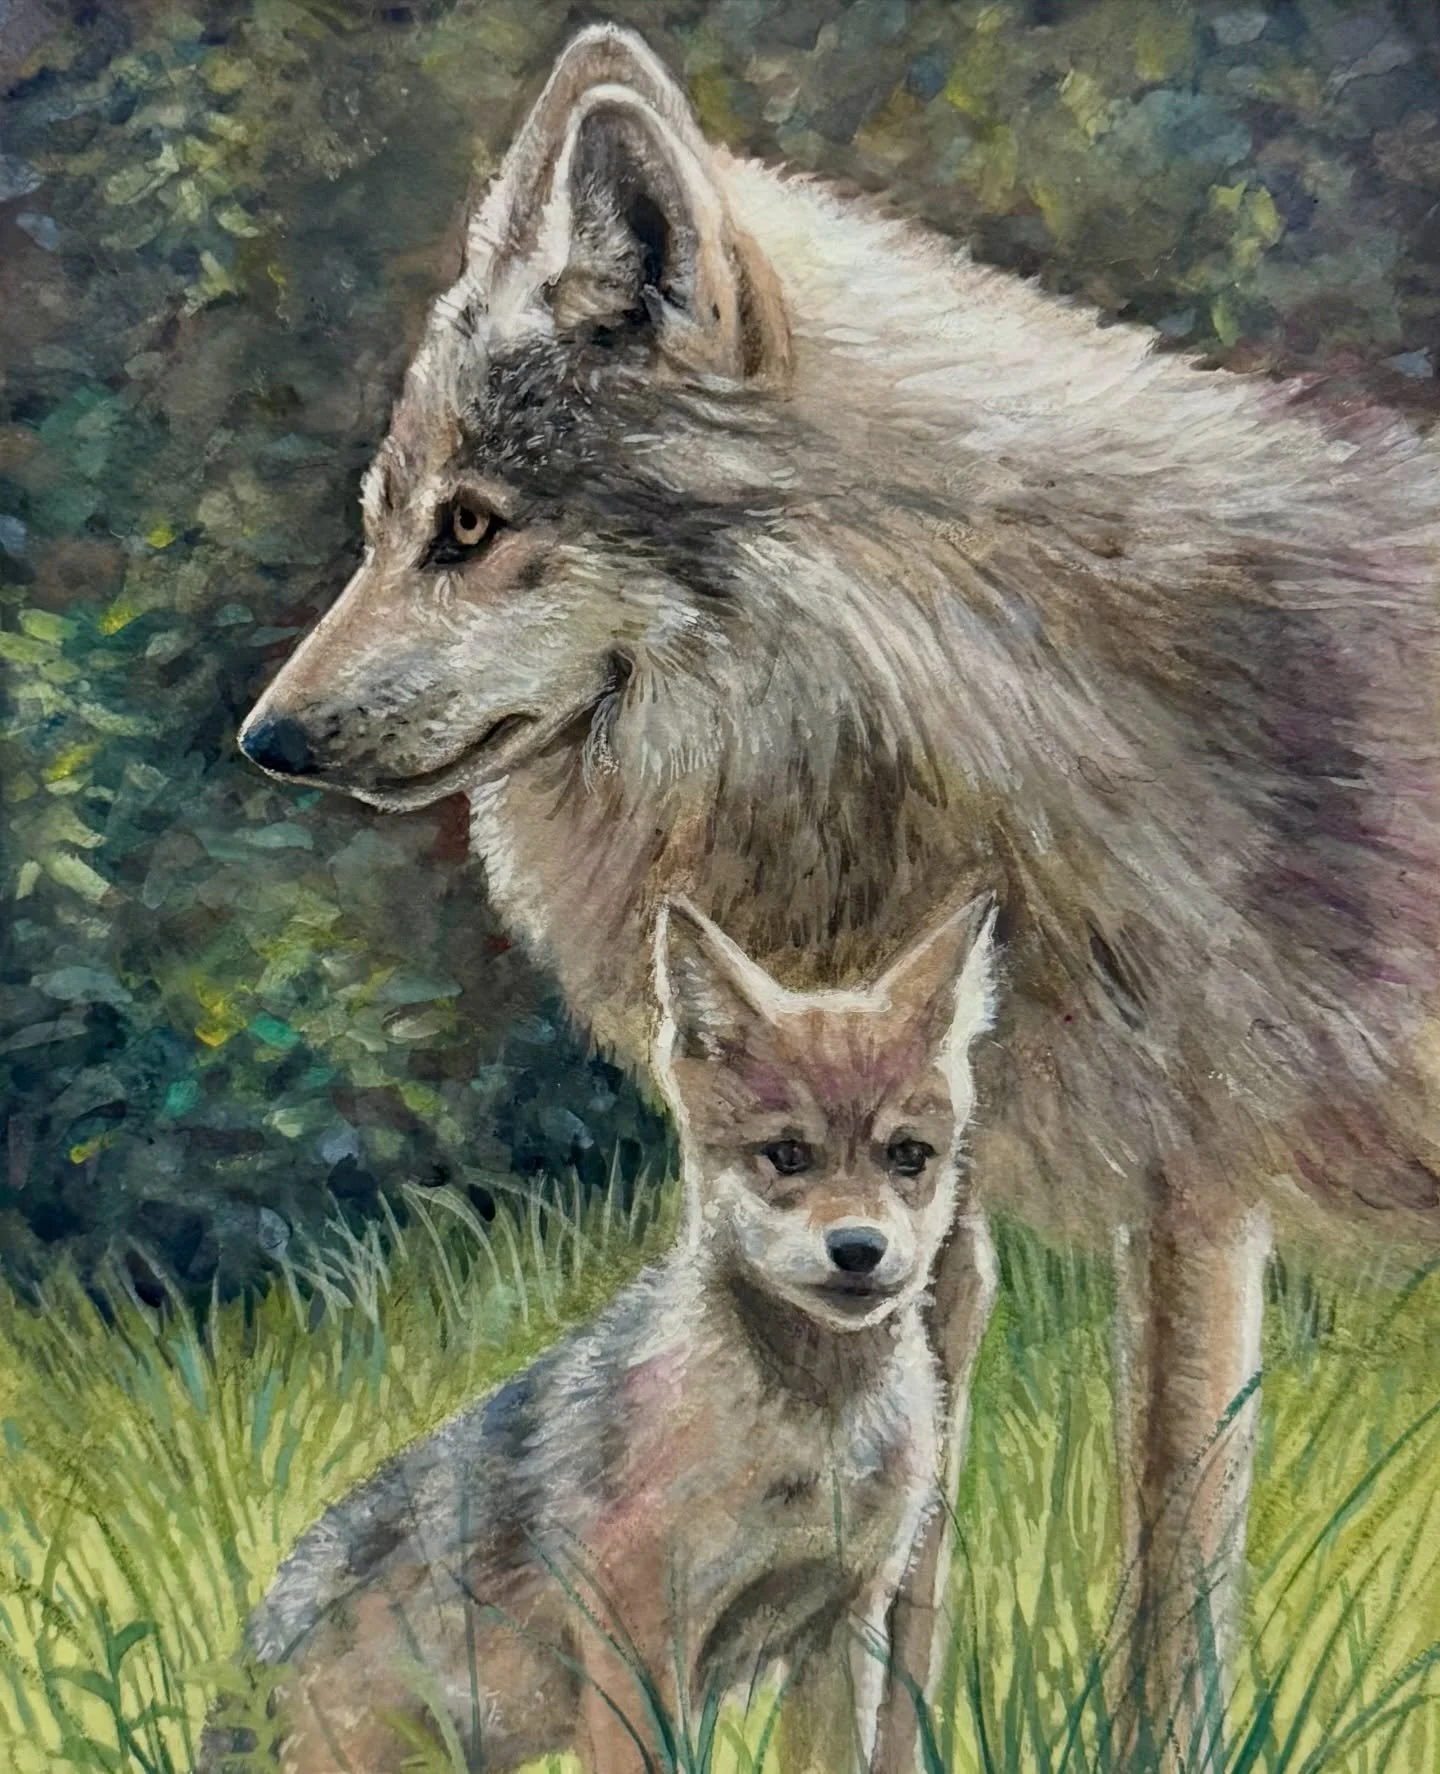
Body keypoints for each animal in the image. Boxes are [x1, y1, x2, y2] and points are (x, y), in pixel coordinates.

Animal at [201, 895, 997, 1774]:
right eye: (787, 1154)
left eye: (909, 1156)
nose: (859, 1249)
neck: (813, 1438)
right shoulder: (635, 1653)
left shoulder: (841, 1628)